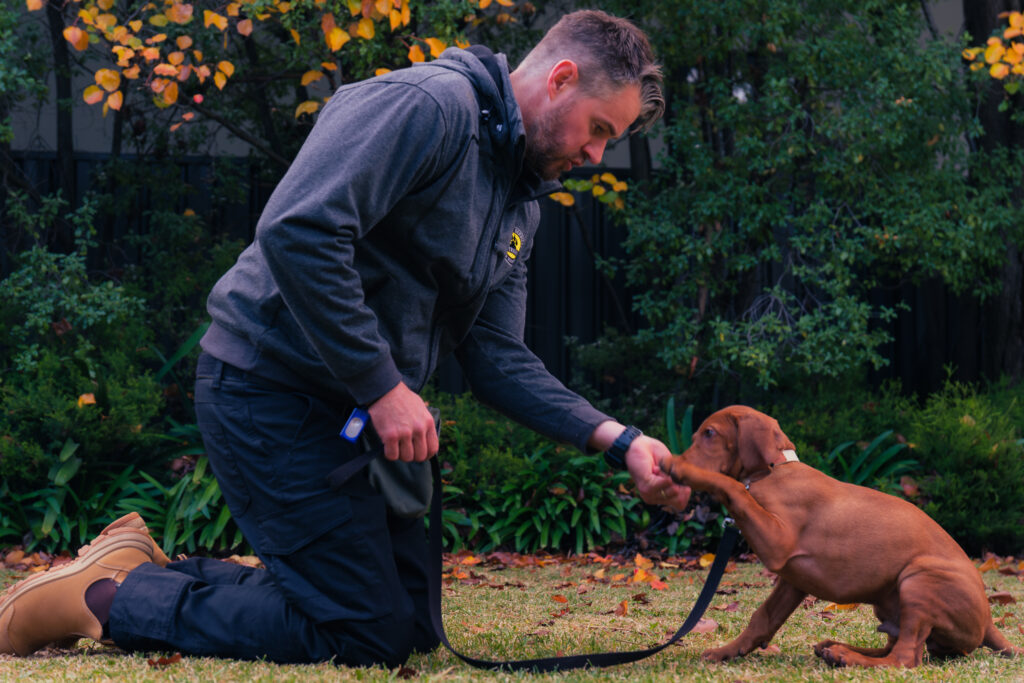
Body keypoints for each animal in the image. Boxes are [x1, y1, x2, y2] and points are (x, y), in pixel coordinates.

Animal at [659, 405, 1019, 667]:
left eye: (709, 433)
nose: (674, 459)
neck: (775, 471)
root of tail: (989, 622)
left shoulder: (776, 543)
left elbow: (733, 488)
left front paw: (685, 470)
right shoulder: (793, 580)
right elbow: (762, 619)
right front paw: (727, 651)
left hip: (920, 579)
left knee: (904, 658)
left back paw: (846, 655)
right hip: (891, 601)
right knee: (895, 648)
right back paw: (836, 649)